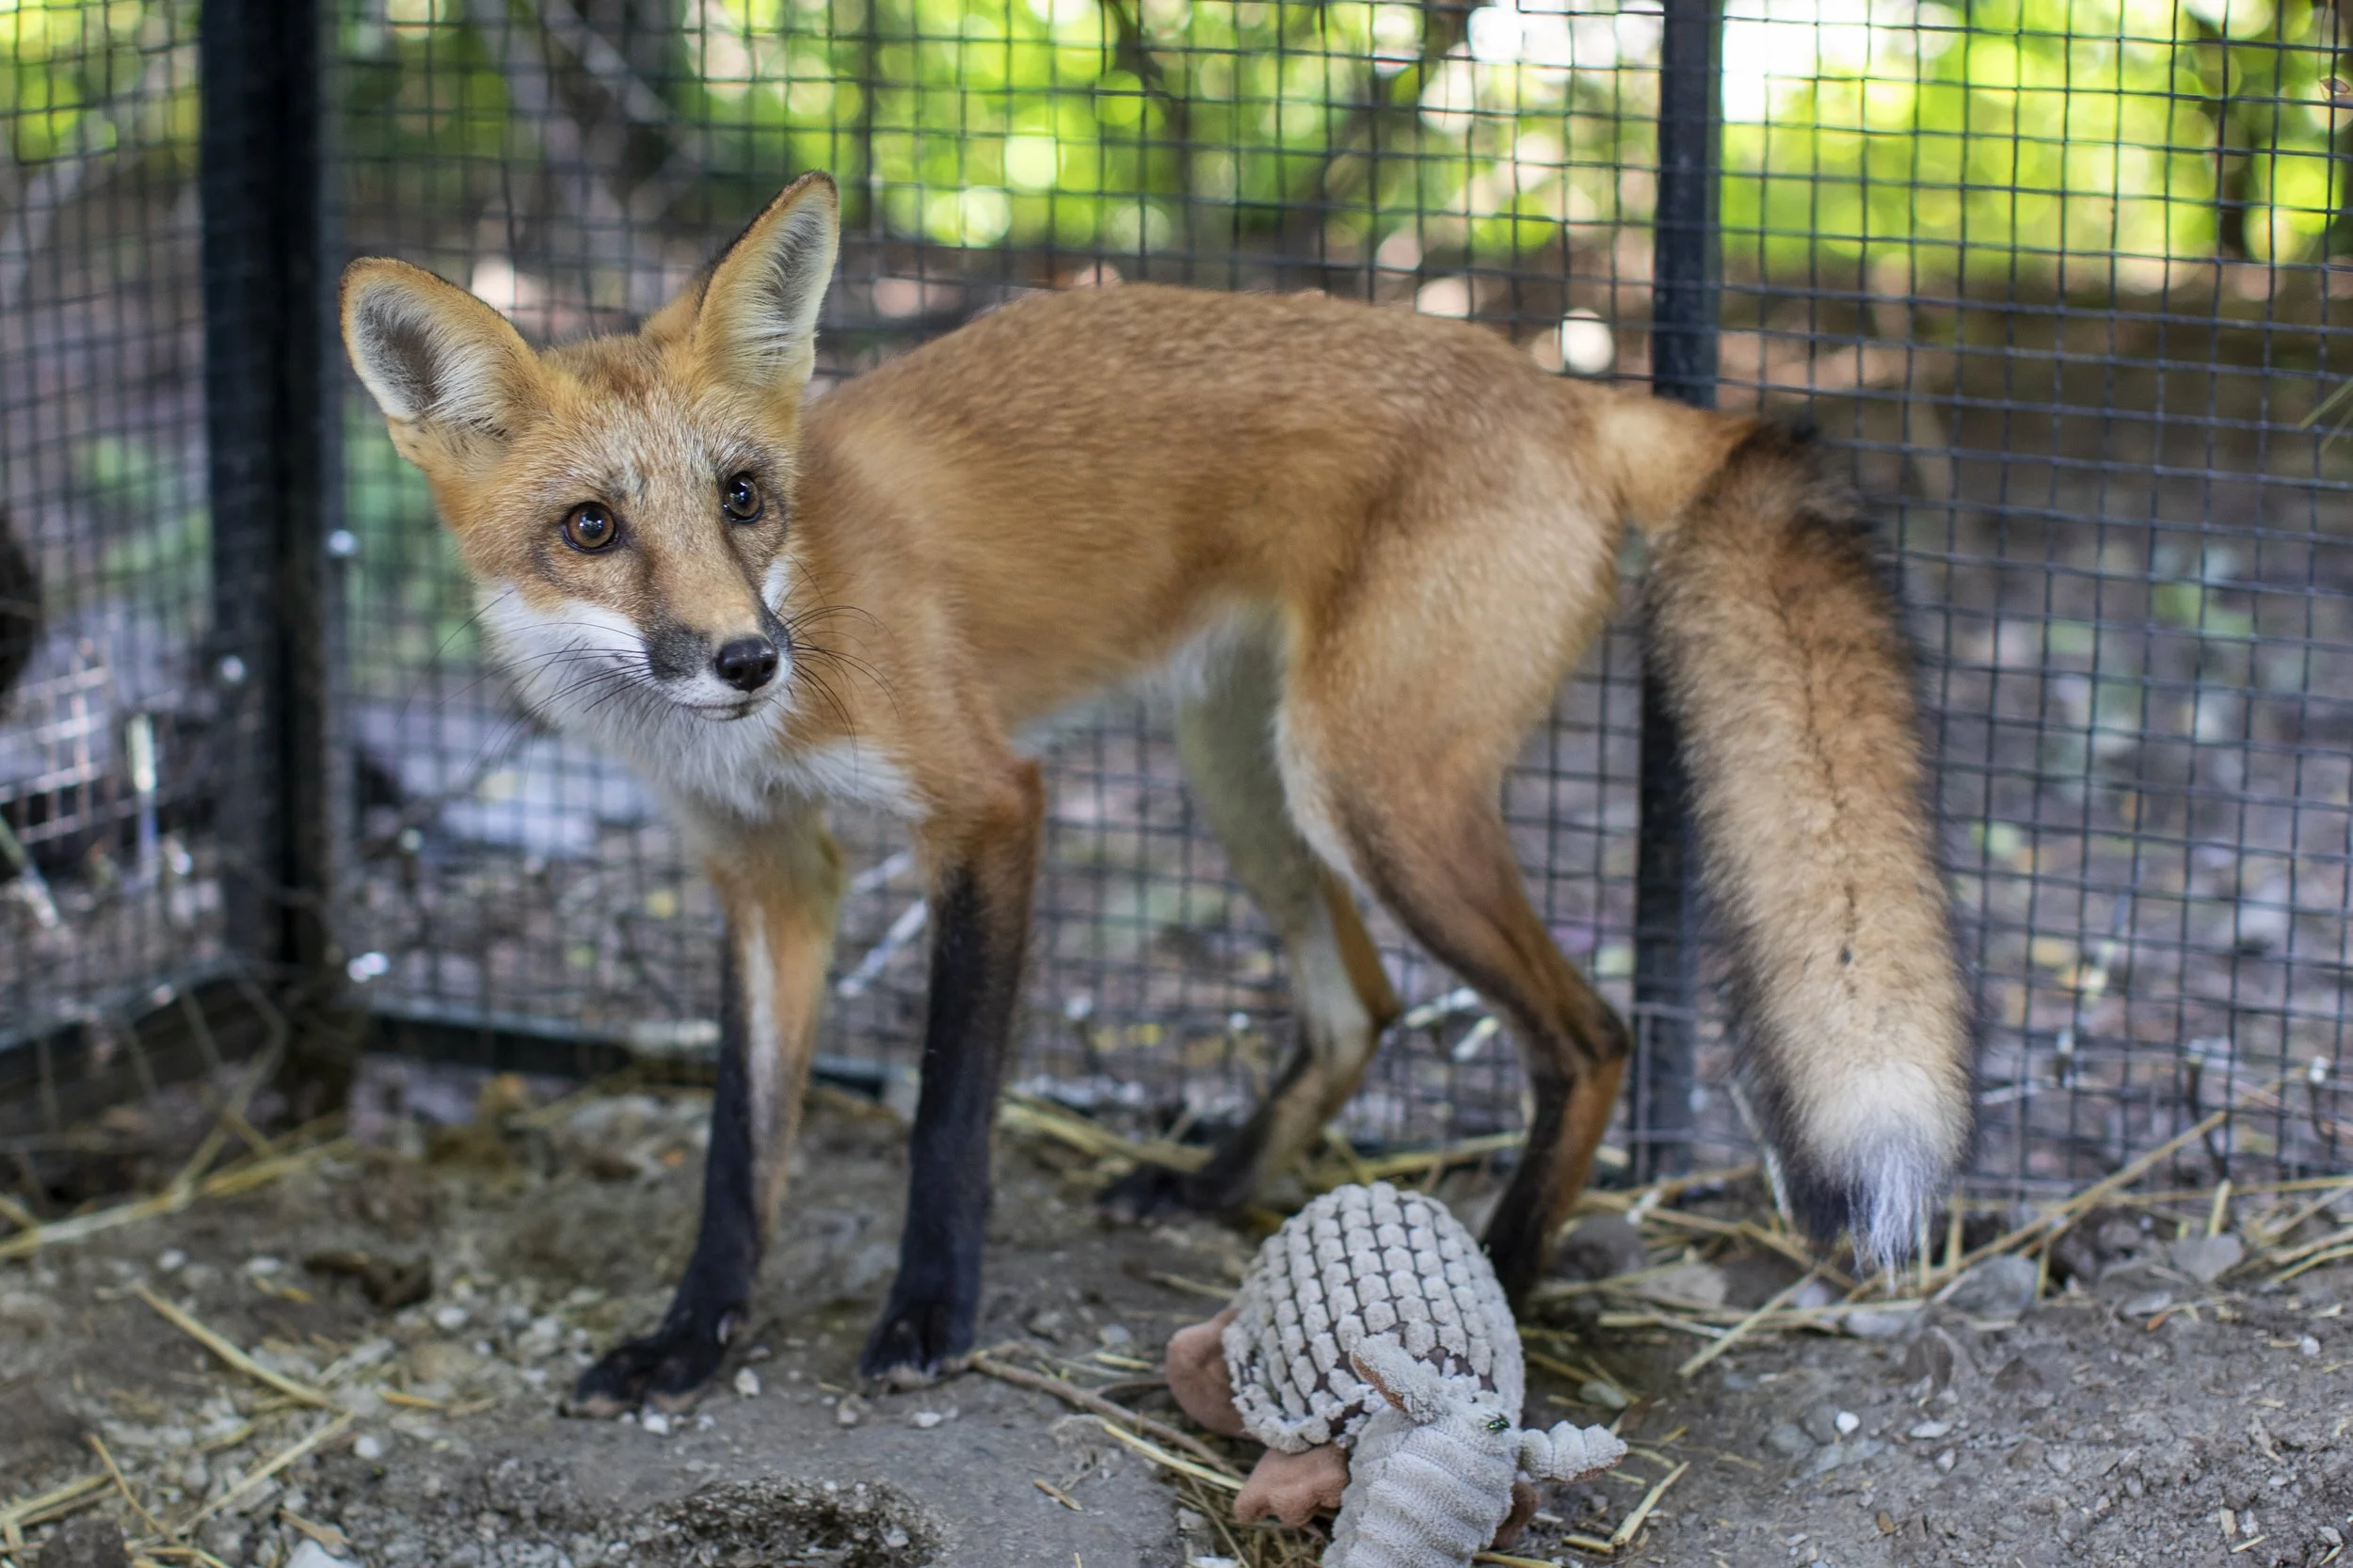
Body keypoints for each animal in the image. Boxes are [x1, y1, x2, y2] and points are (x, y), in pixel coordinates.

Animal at [339, 172, 1972, 1410]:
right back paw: (1209, 1185)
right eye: (591, 528)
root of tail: (1566, 391)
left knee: (1591, 1034)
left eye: (743, 496)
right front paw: (691, 1338)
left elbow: (947, 1115)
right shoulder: (766, 874)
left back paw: (1500, 1278)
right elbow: (740, 1156)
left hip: (1367, 790)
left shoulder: (990, 806)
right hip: (1244, 771)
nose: (746, 657)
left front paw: (928, 1317)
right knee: (1360, 1005)